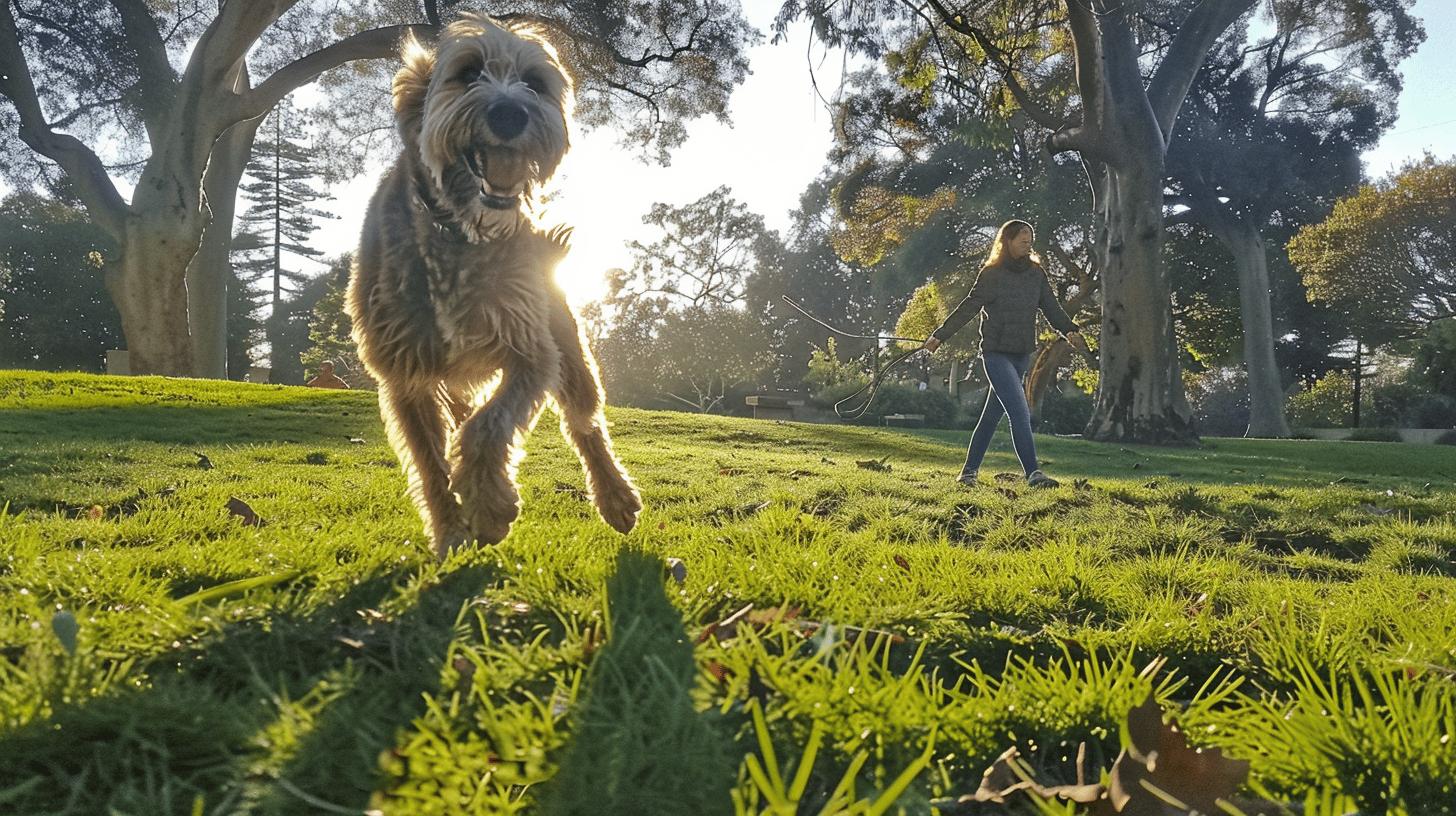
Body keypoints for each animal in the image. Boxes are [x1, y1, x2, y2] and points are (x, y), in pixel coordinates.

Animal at [346, 15, 643, 556]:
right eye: (467, 73)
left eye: (535, 82)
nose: (509, 113)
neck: (457, 233)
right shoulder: (403, 375)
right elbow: (429, 461)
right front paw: (450, 530)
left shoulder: (530, 350)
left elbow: (488, 428)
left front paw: (489, 509)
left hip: (571, 351)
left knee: (585, 422)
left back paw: (615, 497)